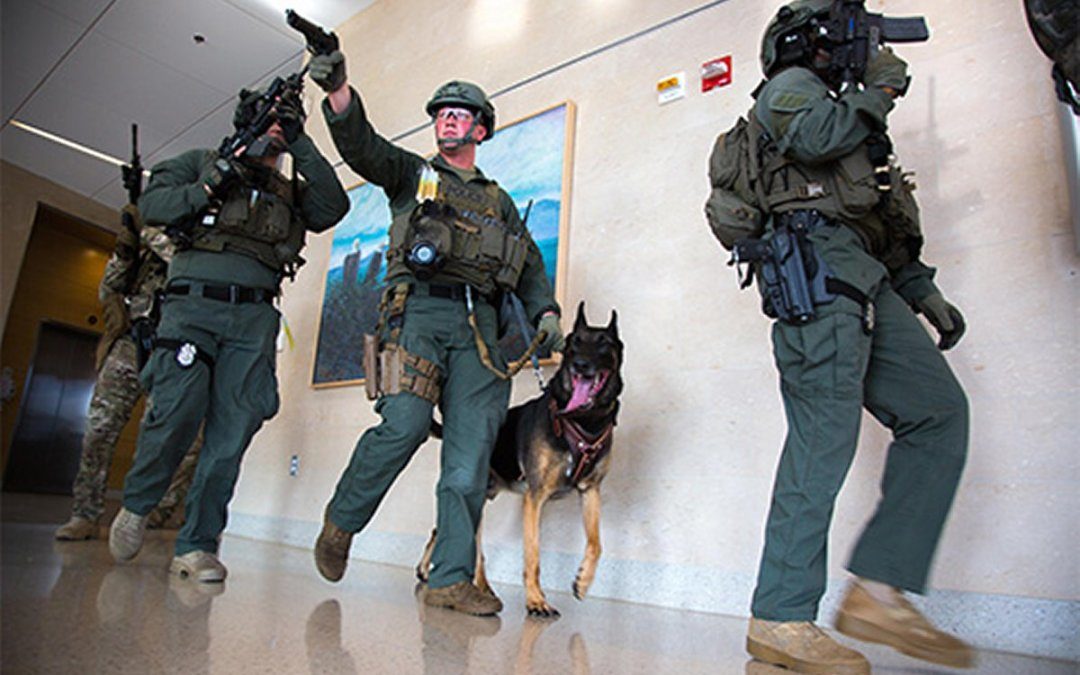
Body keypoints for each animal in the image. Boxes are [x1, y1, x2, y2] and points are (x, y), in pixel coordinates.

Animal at [419, 302, 630, 617]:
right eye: (573, 344)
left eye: (604, 344)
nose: (580, 365)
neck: (583, 419)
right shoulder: (534, 498)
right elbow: (533, 555)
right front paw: (536, 600)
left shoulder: (590, 492)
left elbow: (596, 544)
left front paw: (582, 581)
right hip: (475, 499)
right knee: (457, 536)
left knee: (457, 538)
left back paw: (473, 586)